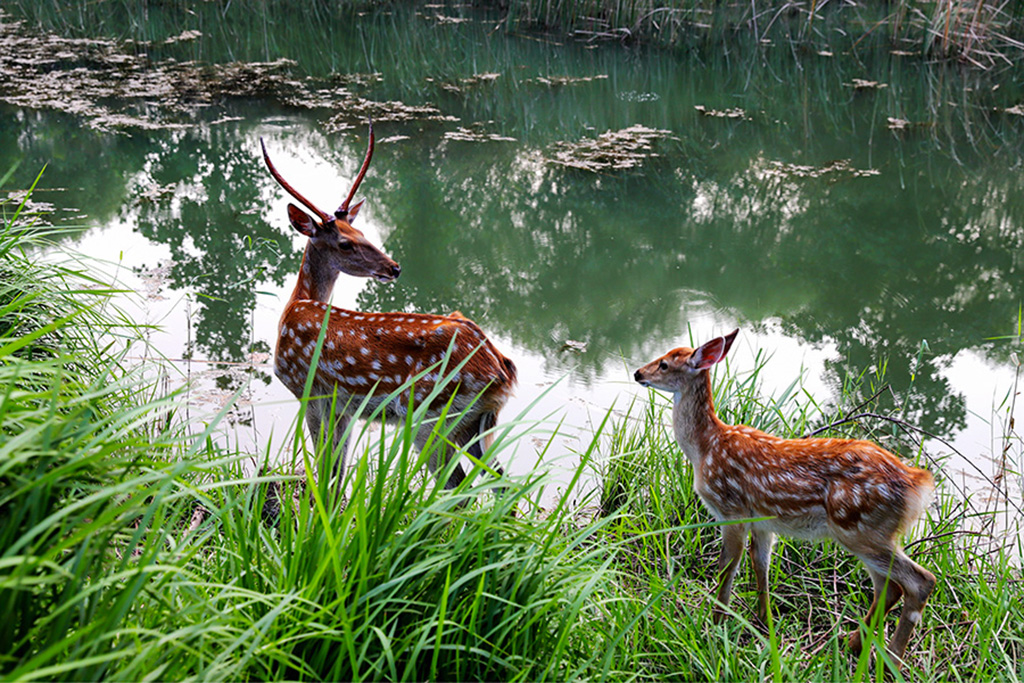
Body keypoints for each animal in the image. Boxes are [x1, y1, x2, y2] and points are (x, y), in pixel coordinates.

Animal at [264, 122, 520, 493]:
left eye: (360, 232)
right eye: (346, 241)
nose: (394, 267)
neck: (297, 304)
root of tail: (502, 372)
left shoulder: (309, 389)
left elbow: (325, 466)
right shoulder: (343, 406)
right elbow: (338, 470)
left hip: (433, 415)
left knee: (457, 488)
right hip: (480, 423)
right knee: (502, 483)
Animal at [630, 329, 937, 667]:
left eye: (664, 364)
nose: (638, 373)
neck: (705, 447)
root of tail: (918, 484)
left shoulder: (730, 510)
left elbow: (727, 567)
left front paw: (714, 622)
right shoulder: (763, 522)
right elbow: (760, 565)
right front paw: (763, 622)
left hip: (859, 528)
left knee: (919, 581)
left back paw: (892, 658)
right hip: (872, 533)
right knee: (888, 586)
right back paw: (855, 643)